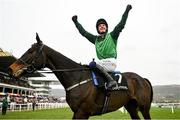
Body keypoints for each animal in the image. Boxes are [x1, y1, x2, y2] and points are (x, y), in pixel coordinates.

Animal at [8, 33, 153, 119]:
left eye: (30, 51)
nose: (11, 68)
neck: (77, 78)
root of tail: (142, 79)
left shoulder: (82, 112)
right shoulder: (77, 112)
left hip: (144, 107)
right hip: (131, 106)